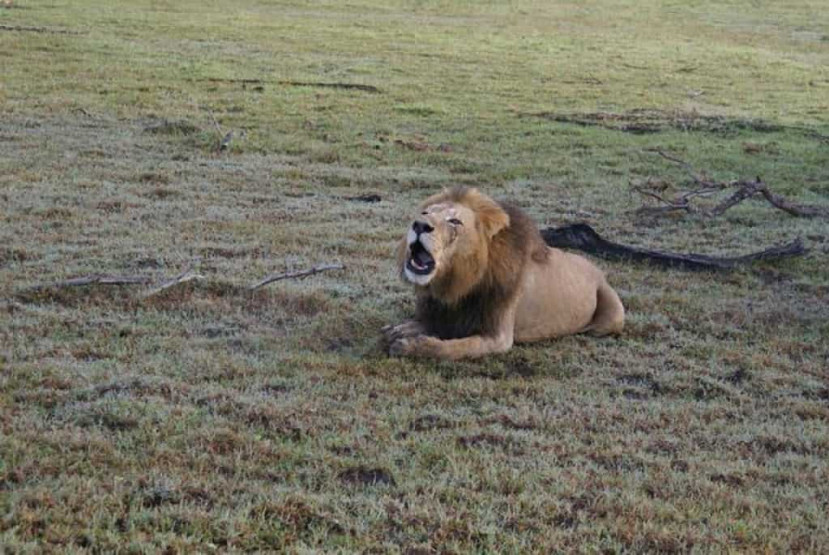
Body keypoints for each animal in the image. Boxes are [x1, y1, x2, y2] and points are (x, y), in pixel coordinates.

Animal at [384, 187, 624, 360]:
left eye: (454, 221)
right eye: (425, 213)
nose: (419, 225)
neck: (458, 282)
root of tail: (598, 270)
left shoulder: (498, 337)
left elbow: (454, 348)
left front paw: (412, 346)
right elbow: (426, 323)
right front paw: (401, 329)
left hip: (614, 315)